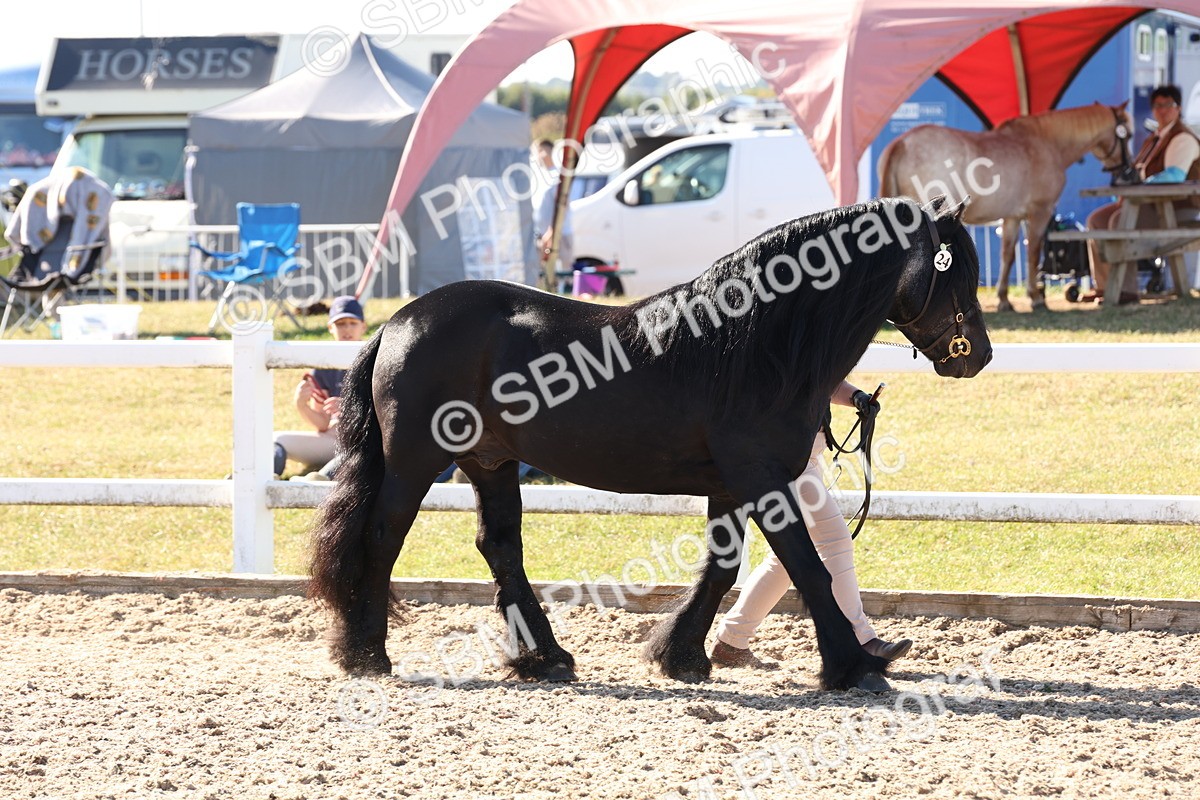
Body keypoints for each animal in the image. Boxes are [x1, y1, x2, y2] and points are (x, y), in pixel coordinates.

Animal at [309, 195, 993, 692]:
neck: (753, 347)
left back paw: (546, 658)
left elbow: (722, 569)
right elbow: (806, 565)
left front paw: (680, 655)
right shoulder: (761, 479)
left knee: (500, 549)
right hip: (415, 463)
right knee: (382, 537)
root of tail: (400, 322)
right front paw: (854, 665)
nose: (979, 356)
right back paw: (367, 653)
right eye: (956, 270)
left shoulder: (731, 485)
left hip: (491, 463)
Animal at [878, 103, 1133, 312]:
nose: (1128, 171)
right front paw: (1036, 298)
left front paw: (1004, 300)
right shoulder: (1039, 213)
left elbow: (1008, 256)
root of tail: (901, 144)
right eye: (1127, 134)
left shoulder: (1012, 218)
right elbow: (1033, 253)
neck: (1045, 143)